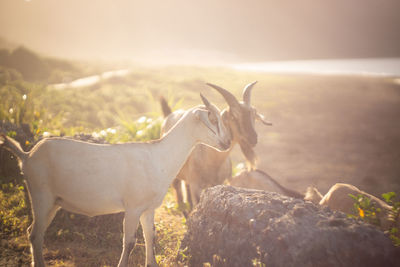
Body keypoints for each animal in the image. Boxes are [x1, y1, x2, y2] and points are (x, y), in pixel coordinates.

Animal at [0, 94, 230, 267]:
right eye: (212, 117)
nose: (227, 142)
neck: (158, 156)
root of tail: (27, 156)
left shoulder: (148, 209)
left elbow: (150, 237)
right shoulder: (133, 207)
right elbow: (129, 242)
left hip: (53, 202)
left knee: (33, 232)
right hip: (41, 196)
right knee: (35, 235)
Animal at [160, 81, 272, 214]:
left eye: (253, 115)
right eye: (233, 117)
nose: (253, 138)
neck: (212, 160)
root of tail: (169, 115)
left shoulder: (216, 184)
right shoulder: (196, 185)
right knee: (179, 193)